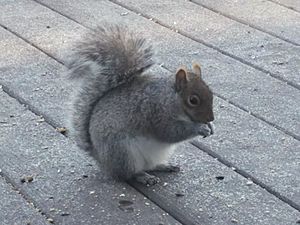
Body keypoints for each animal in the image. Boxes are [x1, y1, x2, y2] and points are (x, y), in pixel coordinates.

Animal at [67, 24, 214, 185]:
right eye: (193, 100)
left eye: (211, 92)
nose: (211, 118)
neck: (168, 97)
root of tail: (100, 158)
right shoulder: (155, 112)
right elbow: (171, 132)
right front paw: (199, 128)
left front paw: (210, 126)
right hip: (123, 152)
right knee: (128, 174)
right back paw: (143, 177)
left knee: (150, 166)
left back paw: (164, 166)